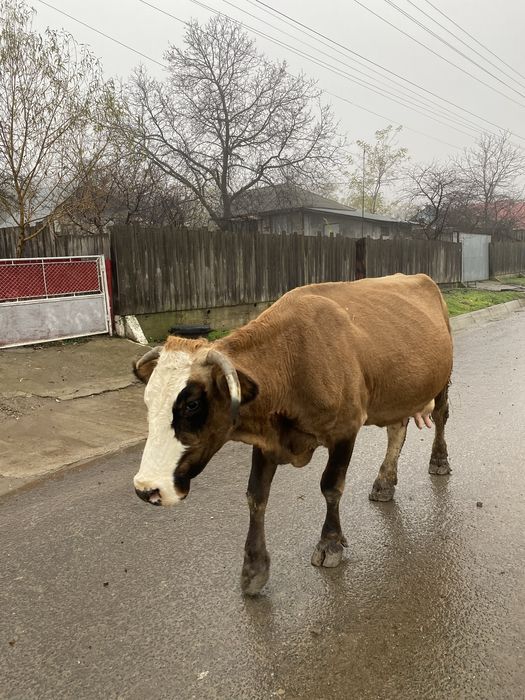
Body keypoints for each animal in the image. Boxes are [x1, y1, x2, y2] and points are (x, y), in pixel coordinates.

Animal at [132, 273, 453, 595]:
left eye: (192, 404)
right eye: (147, 400)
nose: (147, 488)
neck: (292, 360)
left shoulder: (345, 428)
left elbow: (331, 487)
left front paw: (330, 543)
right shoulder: (266, 440)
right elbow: (256, 495)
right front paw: (254, 567)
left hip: (442, 380)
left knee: (440, 417)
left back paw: (438, 461)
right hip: (396, 393)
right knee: (397, 429)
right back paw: (385, 482)